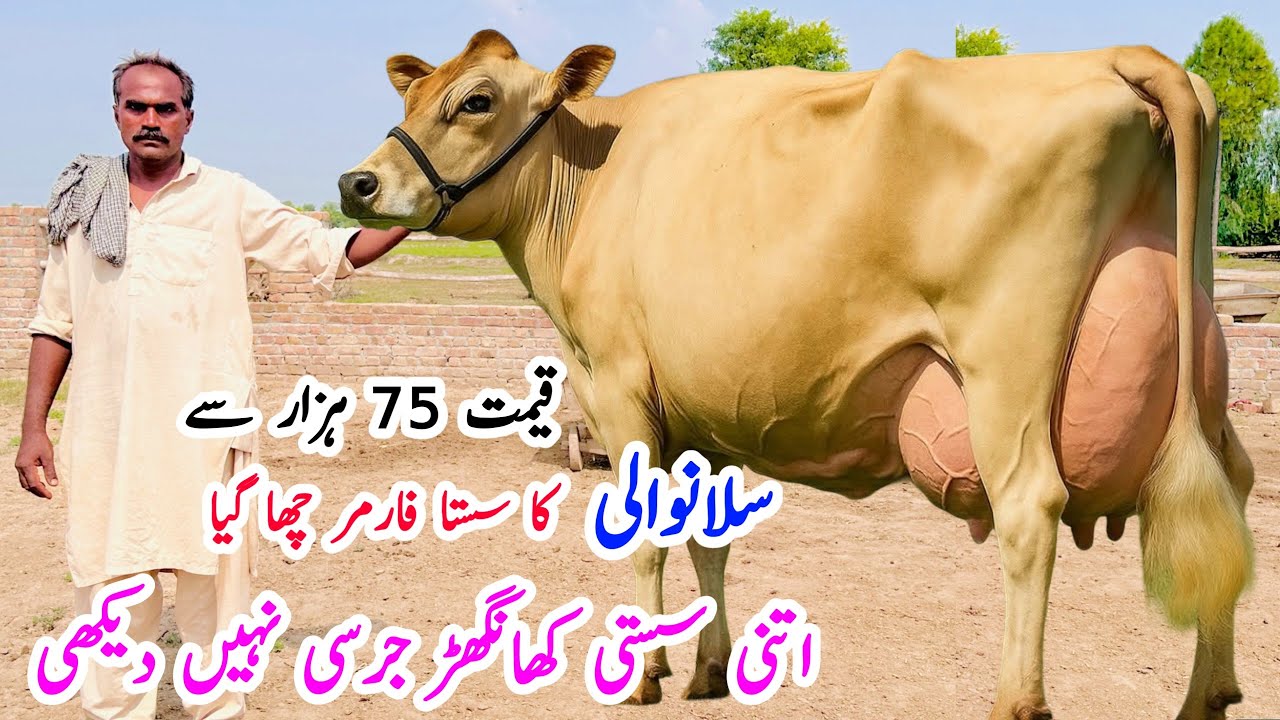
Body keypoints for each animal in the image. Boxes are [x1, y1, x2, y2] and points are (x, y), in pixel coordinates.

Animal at [338, 30, 1255, 720]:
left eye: (475, 101)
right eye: (411, 98)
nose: (357, 182)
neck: (591, 174)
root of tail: (1121, 54)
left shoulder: (622, 383)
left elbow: (645, 538)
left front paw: (641, 675)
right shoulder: (699, 409)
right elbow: (706, 540)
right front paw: (706, 670)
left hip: (1006, 360)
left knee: (1030, 508)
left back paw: (1015, 703)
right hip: (1199, 360)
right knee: (1232, 488)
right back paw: (1207, 694)